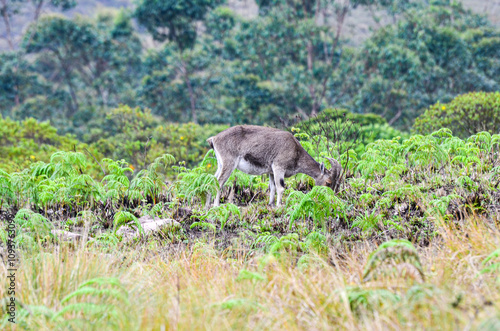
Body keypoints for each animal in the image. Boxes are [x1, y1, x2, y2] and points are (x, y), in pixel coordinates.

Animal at [205, 125, 342, 208]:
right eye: (328, 182)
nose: (330, 198)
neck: (295, 151)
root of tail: (214, 139)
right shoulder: (278, 167)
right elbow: (280, 187)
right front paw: (279, 206)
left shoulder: (271, 171)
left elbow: (272, 187)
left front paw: (271, 204)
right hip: (229, 163)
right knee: (219, 182)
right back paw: (216, 205)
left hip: (220, 164)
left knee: (212, 180)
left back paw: (207, 206)